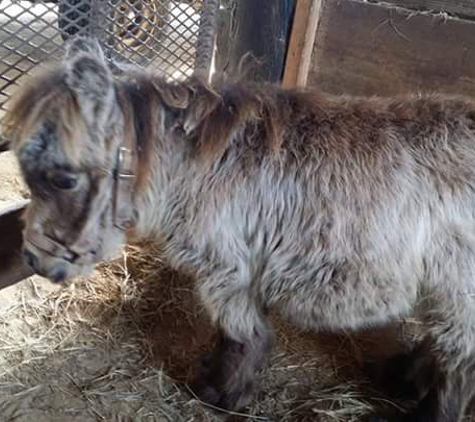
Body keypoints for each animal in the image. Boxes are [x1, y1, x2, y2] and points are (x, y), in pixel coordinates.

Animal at [3, 38, 475, 420]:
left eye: (63, 179)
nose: (34, 260)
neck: (198, 168)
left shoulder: (227, 272)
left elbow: (242, 336)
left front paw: (221, 395)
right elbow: (230, 335)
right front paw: (216, 376)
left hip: (457, 289)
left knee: (459, 361)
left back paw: (427, 411)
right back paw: (402, 377)